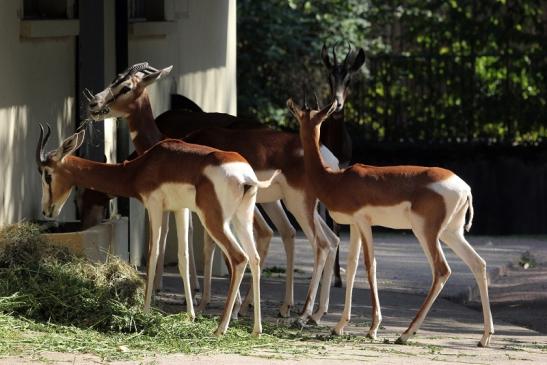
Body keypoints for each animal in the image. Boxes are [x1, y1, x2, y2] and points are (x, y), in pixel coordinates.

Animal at [292, 97, 496, 346]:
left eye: (301, 115)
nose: (290, 104)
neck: (335, 179)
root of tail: (465, 188)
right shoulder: (355, 225)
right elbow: (352, 266)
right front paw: (339, 327)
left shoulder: (364, 222)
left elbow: (370, 266)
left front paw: (372, 329)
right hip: (451, 233)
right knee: (478, 263)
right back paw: (485, 337)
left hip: (425, 232)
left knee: (442, 270)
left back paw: (405, 334)